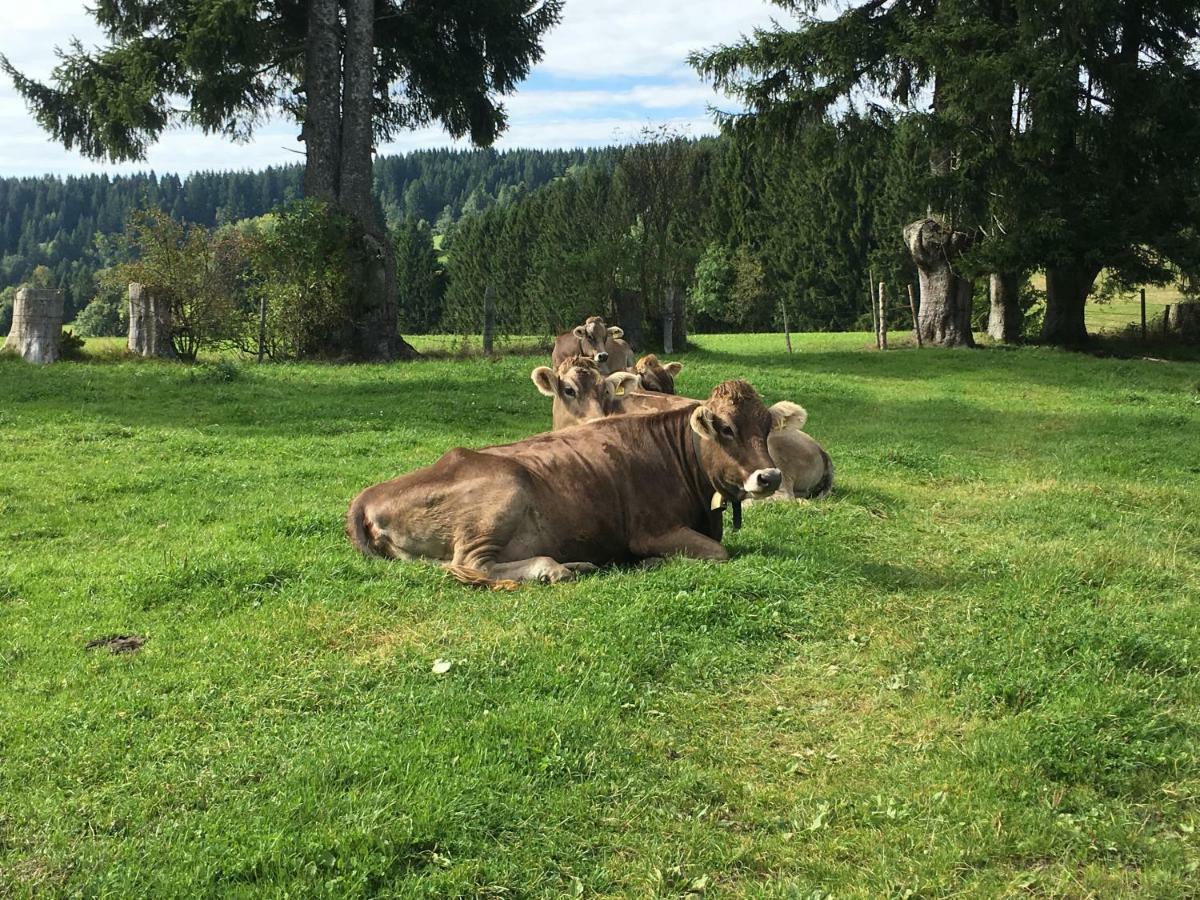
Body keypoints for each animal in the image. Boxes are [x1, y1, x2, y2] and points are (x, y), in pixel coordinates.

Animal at [343, 381, 782, 585]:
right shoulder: (652, 531)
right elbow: (717, 553)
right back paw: (552, 569)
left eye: (766, 428)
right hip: (503, 495)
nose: (770, 476)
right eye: (726, 428)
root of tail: (369, 494)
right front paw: (651, 562)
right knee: (470, 565)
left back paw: (579, 564)